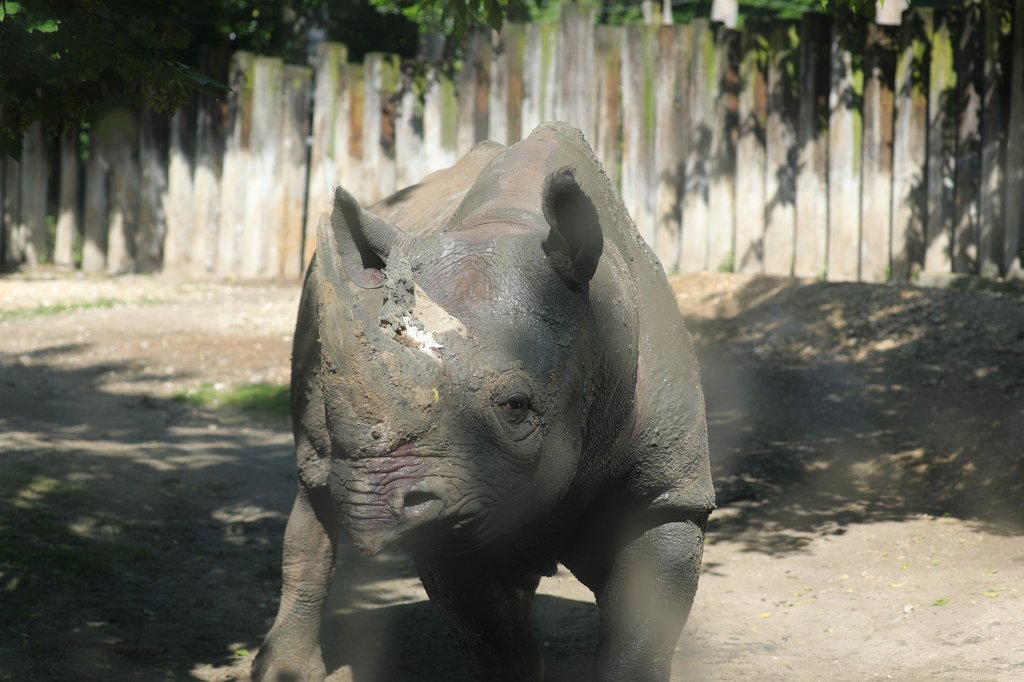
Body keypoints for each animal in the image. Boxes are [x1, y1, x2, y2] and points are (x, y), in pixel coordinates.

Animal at [253, 122, 714, 681]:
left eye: (516, 405)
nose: (372, 505)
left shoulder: (667, 497)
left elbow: (639, 643)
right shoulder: (449, 505)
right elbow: (495, 646)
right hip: (314, 297)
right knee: (315, 484)